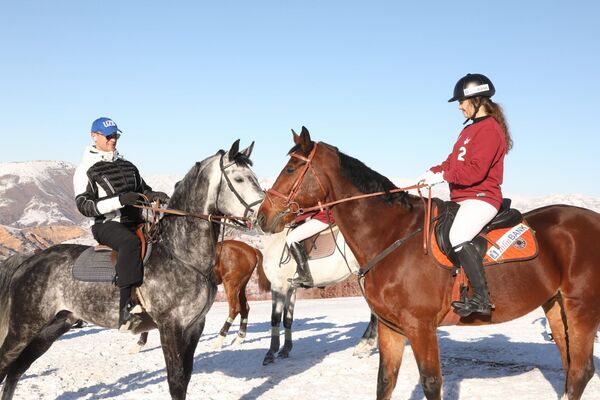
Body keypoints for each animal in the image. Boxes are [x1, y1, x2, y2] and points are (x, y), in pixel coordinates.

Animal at [134, 239, 272, 352]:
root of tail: (251, 249)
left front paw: (139, 344)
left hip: (231, 284)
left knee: (235, 308)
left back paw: (219, 340)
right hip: (241, 286)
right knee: (245, 308)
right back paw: (239, 338)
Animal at [256, 127, 600, 400]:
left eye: (290, 168)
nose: (262, 216)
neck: (392, 234)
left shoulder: (420, 328)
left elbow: (432, 383)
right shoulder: (391, 328)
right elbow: (385, 382)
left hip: (581, 308)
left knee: (580, 371)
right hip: (555, 306)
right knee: (571, 368)